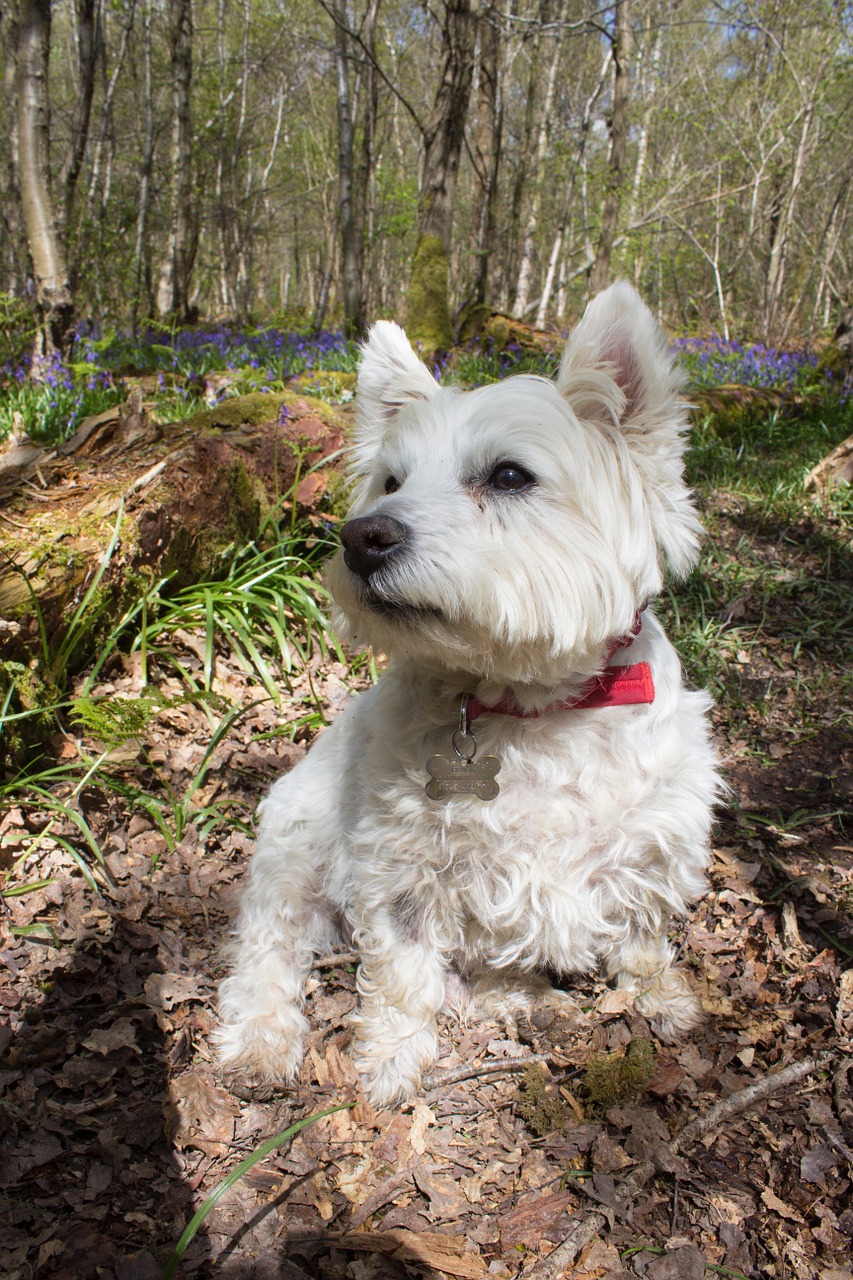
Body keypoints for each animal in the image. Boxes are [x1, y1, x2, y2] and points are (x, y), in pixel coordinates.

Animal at [213, 285, 717, 1105]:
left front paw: (662, 1002)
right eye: (391, 481)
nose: (361, 537)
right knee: (266, 951)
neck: (531, 710)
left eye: (509, 476)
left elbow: (643, 942)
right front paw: (391, 1060)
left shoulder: (651, 850)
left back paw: (519, 997)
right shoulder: (401, 869)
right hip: (291, 853)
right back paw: (260, 1040)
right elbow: (401, 976)